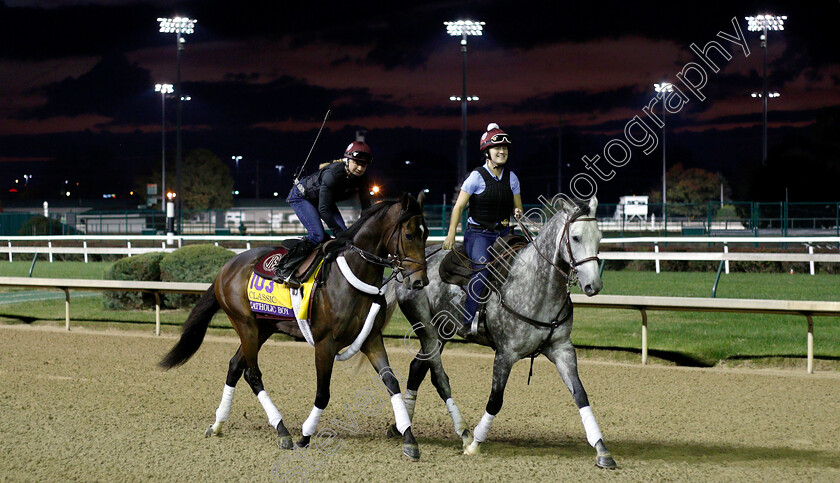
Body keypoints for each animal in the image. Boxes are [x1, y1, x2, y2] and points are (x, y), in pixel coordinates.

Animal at [162, 193, 430, 462]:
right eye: (409, 235)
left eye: (426, 234)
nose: (420, 281)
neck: (352, 277)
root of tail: (226, 268)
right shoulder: (325, 344)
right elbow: (323, 393)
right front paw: (305, 435)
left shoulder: (371, 339)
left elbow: (392, 383)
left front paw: (409, 438)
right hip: (245, 325)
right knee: (253, 374)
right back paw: (281, 430)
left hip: (263, 328)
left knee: (236, 366)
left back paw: (218, 424)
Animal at [388, 196, 616, 468]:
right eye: (576, 237)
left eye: (599, 236)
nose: (594, 285)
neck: (535, 285)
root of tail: (409, 268)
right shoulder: (505, 354)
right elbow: (496, 400)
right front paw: (475, 444)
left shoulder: (562, 349)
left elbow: (581, 395)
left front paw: (602, 449)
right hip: (427, 330)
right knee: (433, 375)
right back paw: (457, 432)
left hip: (440, 335)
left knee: (416, 369)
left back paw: (401, 426)